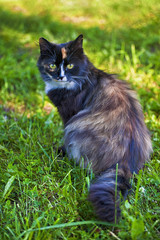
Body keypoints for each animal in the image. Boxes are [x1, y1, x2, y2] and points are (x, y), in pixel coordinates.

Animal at [37, 34, 152, 222]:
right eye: (52, 65)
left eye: (70, 65)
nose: (61, 77)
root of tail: (125, 163)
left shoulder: (69, 115)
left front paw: (60, 150)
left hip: (75, 128)